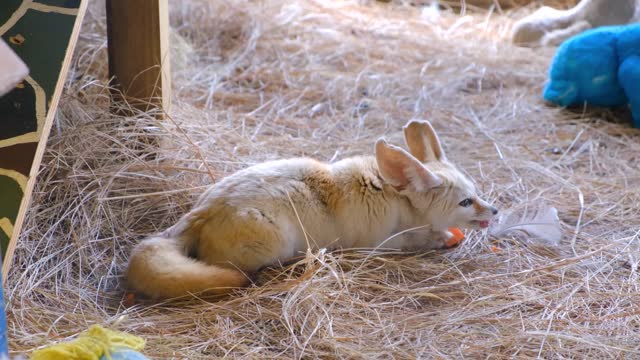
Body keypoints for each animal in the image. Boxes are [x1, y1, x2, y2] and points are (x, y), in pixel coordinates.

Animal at [125, 120, 496, 298]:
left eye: (477, 193)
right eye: (466, 202)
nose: (494, 211)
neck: (395, 196)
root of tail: (199, 212)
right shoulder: (375, 244)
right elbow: (415, 241)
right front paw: (440, 238)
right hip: (274, 242)